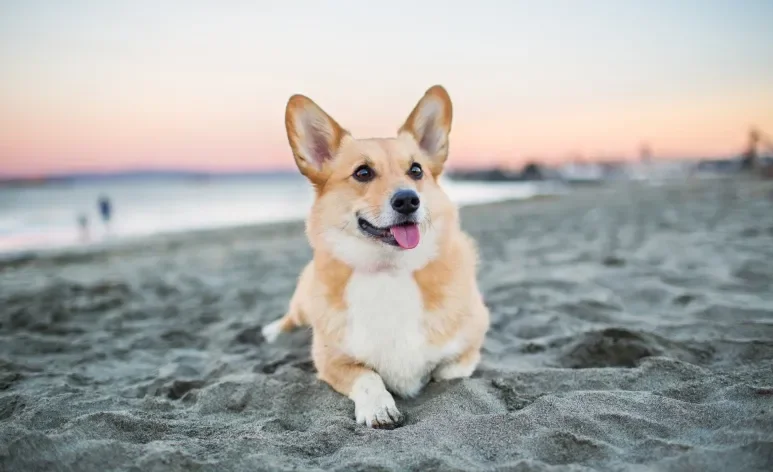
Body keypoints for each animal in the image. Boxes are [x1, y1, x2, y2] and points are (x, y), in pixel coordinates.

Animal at [260, 85, 488, 428]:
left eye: (416, 170)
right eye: (363, 172)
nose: (408, 200)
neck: (389, 271)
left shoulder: (470, 343)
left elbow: (450, 371)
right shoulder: (331, 360)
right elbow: (367, 376)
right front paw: (379, 407)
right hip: (302, 302)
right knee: (292, 315)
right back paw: (273, 331)